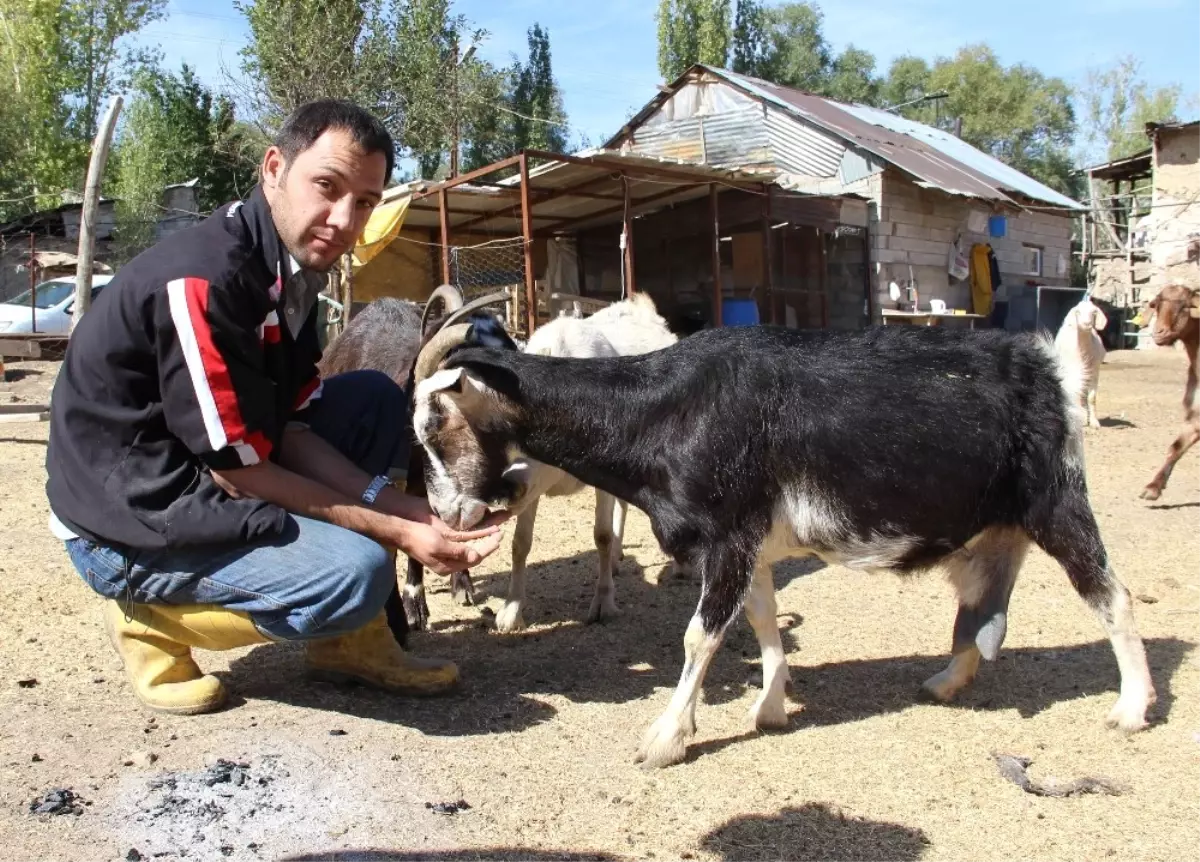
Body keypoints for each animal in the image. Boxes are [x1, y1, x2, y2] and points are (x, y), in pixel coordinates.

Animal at [1056, 298, 1108, 429]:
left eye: (1094, 312)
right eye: (1078, 312)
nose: (1086, 324)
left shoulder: (1095, 371)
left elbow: (1092, 398)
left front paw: (1094, 422)